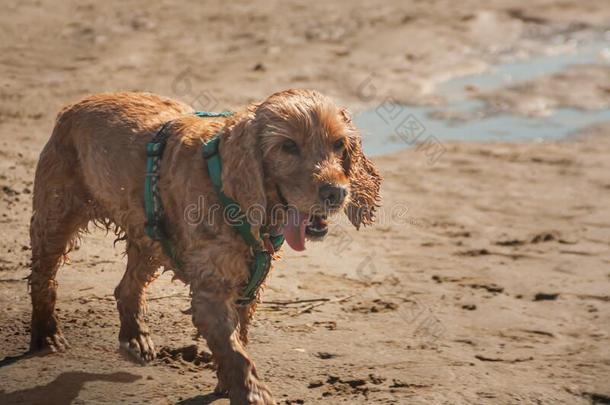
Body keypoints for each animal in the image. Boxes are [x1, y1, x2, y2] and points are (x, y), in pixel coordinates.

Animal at [29, 89, 380, 404]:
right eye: (288, 145)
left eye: (339, 144)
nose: (335, 192)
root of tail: (71, 108)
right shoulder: (211, 291)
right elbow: (236, 351)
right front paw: (252, 393)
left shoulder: (248, 286)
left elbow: (237, 340)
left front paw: (227, 384)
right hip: (55, 218)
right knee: (43, 279)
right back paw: (47, 335)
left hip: (149, 239)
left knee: (126, 288)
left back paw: (135, 338)